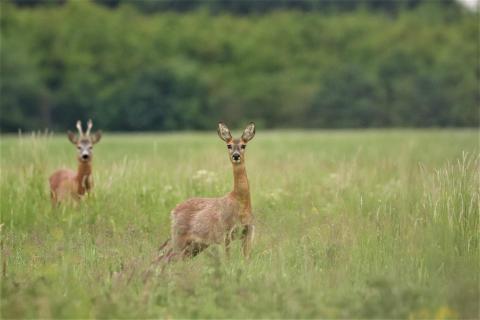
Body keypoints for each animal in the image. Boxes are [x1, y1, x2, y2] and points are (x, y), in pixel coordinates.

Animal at [163, 121, 256, 262]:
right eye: (229, 145)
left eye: (243, 145)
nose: (236, 156)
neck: (239, 202)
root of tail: (173, 212)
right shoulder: (225, 232)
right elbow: (228, 259)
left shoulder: (248, 231)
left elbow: (246, 259)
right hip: (179, 237)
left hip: (195, 246)